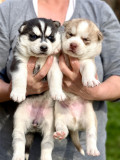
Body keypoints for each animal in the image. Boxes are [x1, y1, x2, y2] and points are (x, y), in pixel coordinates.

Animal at [10, 18, 66, 160]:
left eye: (51, 37)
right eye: (33, 36)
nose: (44, 47)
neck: (39, 58)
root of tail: (34, 124)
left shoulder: (54, 65)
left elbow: (56, 78)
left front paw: (58, 93)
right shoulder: (19, 63)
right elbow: (20, 78)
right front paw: (18, 93)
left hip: (49, 124)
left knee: (47, 143)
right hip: (19, 119)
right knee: (19, 139)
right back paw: (18, 156)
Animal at [53, 18, 103, 156]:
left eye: (85, 39)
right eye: (70, 34)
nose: (73, 45)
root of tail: (75, 125)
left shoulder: (88, 62)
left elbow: (88, 70)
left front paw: (90, 80)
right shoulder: (57, 63)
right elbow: (56, 76)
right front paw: (57, 92)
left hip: (91, 119)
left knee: (91, 134)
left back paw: (92, 150)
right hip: (59, 116)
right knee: (63, 128)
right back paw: (60, 134)